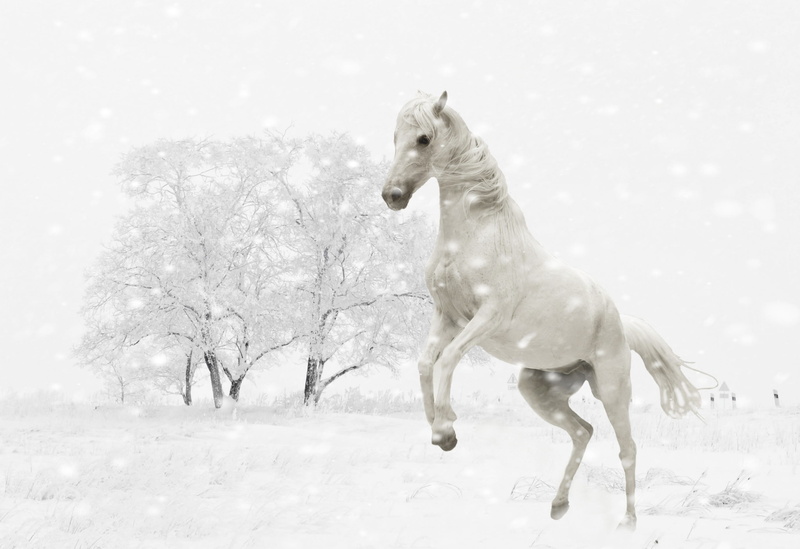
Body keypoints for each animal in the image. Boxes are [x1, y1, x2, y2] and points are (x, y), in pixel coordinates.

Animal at [381, 91, 704, 529]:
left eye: (424, 138)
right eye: (395, 138)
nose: (392, 196)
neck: (476, 236)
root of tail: (619, 320)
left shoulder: (486, 318)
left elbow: (446, 360)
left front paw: (446, 431)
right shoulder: (446, 316)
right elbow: (425, 364)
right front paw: (440, 430)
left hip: (613, 389)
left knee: (627, 448)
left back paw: (628, 522)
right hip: (538, 389)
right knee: (583, 431)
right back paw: (558, 505)